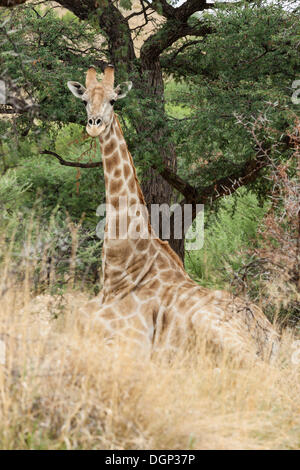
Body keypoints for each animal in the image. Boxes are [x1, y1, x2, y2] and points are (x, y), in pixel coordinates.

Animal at [67, 65, 278, 360]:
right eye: (84, 100)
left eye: (113, 100)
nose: (93, 125)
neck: (119, 274)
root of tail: (269, 335)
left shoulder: (130, 342)